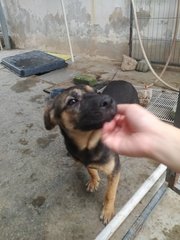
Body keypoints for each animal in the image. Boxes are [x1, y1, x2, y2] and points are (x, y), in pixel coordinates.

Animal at [44, 79, 139, 224]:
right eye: (72, 101)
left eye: (97, 92)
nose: (109, 100)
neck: (89, 145)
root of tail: (124, 81)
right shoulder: (84, 160)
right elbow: (90, 169)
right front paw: (94, 180)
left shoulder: (114, 170)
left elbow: (110, 193)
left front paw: (107, 211)